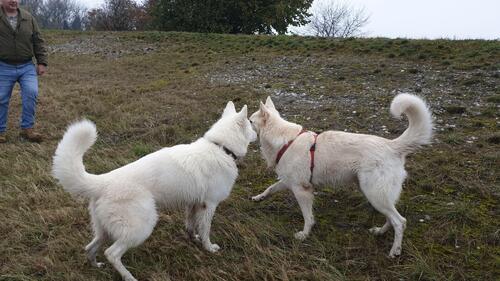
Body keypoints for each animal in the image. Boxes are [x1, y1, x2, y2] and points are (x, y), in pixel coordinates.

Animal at [52, 101, 256, 280]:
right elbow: (205, 230)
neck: (221, 148)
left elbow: (191, 226)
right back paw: (128, 277)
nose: (257, 132)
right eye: (251, 124)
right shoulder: (209, 205)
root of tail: (103, 181)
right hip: (141, 227)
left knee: (90, 248)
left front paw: (193, 240)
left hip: (105, 230)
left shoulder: (193, 204)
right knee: (112, 253)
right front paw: (209, 248)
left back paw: (96, 266)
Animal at [250, 93, 434, 256]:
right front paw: (258, 197)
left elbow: (308, 217)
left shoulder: (301, 190)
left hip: (374, 194)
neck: (284, 140)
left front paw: (304, 235)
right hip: (376, 194)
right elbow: (270, 188)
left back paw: (395, 250)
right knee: (391, 218)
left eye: (250, 121)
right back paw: (380, 232)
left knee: (400, 221)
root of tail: (392, 145)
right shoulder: (289, 182)